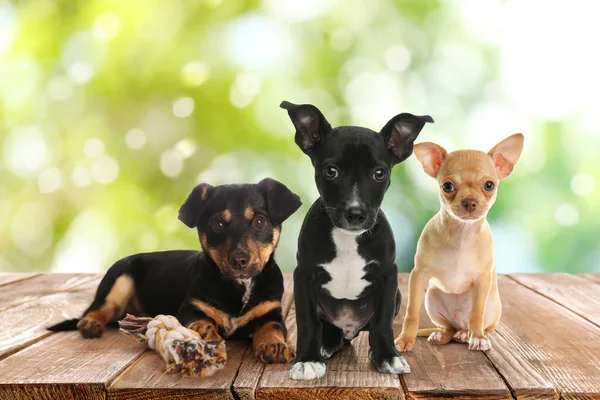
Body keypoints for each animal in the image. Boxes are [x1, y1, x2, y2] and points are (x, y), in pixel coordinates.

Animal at [47, 180, 302, 364]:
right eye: (218, 224)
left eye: (259, 221)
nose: (239, 260)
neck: (240, 286)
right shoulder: (189, 308)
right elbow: (202, 321)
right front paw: (206, 334)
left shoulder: (271, 313)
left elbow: (272, 328)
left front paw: (274, 346)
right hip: (119, 279)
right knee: (98, 307)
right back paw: (90, 324)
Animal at [396, 134, 524, 350]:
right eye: (447, 186)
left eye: (489, 185)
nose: (470, 202)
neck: (462, 234)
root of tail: (458, 325)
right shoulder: (419, 276)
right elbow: (411, 313)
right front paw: (405, 339)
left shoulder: (483, 280)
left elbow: (477, 313)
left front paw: (477, 337)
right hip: (432, 297)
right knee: (447, 328)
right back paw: (442, 335)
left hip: (493, 306)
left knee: (476, 324)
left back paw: (467, 335)